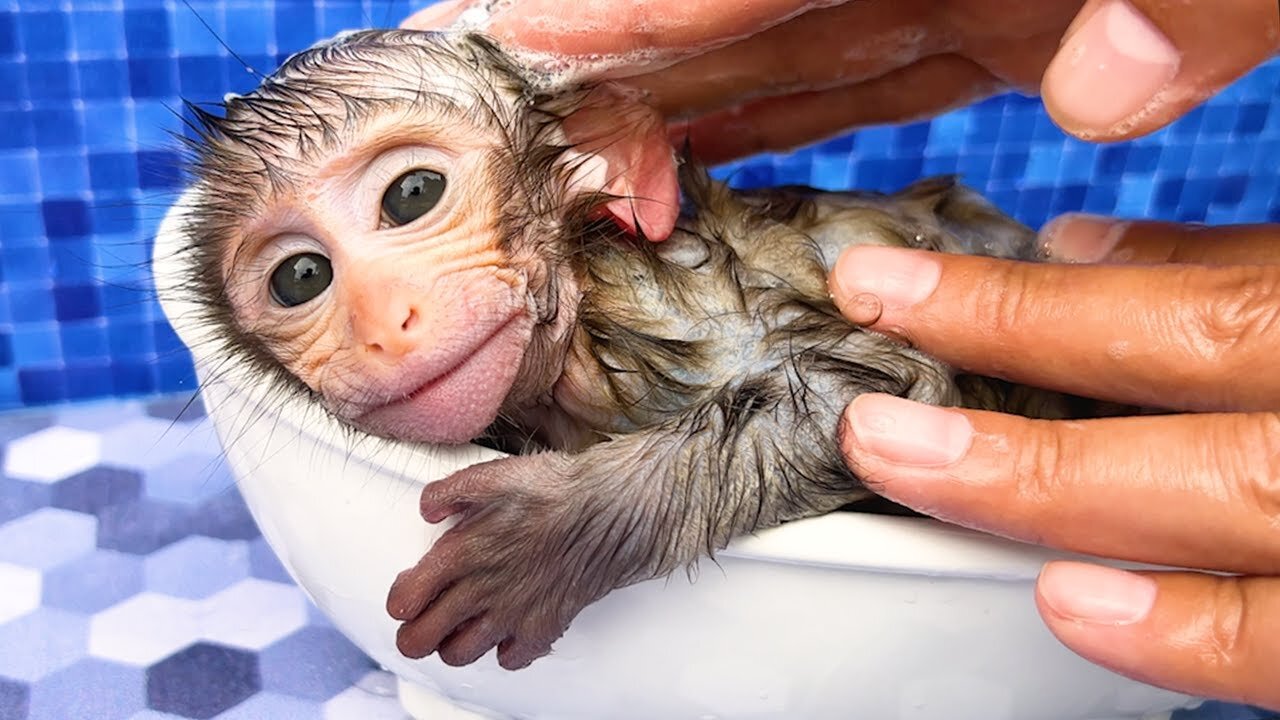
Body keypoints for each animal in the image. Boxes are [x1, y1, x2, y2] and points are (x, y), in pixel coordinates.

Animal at [183, 26, 1100, 666]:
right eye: (300, 278)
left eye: (412, 194)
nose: (382, 324)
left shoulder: (683, 306)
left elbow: (874, 391)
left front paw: (554, 532)